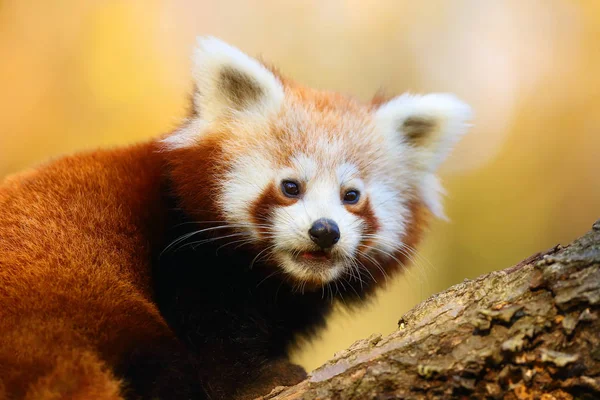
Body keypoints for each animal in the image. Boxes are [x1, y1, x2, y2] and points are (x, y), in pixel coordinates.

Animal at [0, 38, 468, 400]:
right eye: (290, 187)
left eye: (351, 196)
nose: (324, 231)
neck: (275, 282)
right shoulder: (188, 255)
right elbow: (213, 329)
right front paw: (259, 380)